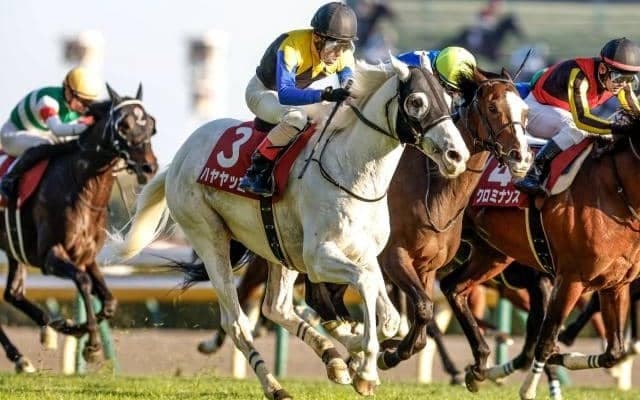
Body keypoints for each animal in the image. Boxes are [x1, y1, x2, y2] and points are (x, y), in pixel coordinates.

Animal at [0, 85, 157, 372]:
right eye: (124, 125)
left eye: (151, 125)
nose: (149, 167)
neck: (81, 187)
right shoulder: (51, 256)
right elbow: (83, 283)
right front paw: (91, 345)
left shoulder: (86, 256)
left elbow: (109, 301)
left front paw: (71, 326)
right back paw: (21, 355)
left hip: (13, 250)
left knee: (13, 293)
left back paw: (38, 338)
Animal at [110, 57, 470, 399]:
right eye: (416, 102)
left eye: (449, 100)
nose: (457, 155)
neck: (352, 171)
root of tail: (179, 157)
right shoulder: (319, 257)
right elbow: (366, 289)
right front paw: (365, 369)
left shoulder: (366, 253)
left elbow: (390, 318)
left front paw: (358, 350)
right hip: (208, 235)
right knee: (237, 322)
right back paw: (276, 386)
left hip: (277, 246)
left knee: (276, 307)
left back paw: (333, 359)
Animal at [440, 113, 640, 400]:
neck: (614, 189)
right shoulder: (567, 280)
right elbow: (544, 341)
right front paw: (531, 387)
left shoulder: (616, 284)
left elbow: (613, 351)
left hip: (492, 255)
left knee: (454, 288)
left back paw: (479, 365)